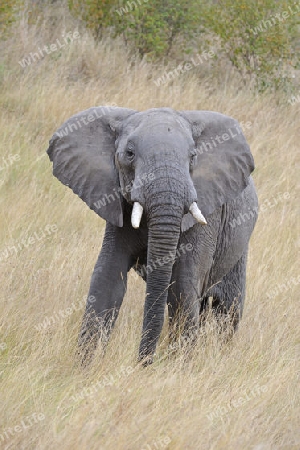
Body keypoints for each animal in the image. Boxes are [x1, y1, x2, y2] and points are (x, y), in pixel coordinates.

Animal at [47, 106, 258, 366]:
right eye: (129, 154)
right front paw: (84, 367)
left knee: (227, 309)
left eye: (193, 157)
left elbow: (183, 286)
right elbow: (107, 280)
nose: (143, 363)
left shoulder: (207, 215)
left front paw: (180, 369)